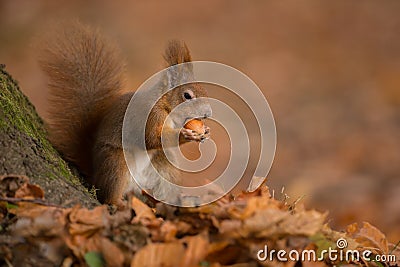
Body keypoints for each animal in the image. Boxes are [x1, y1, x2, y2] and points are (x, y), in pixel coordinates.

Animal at [39, 22, 211, 205]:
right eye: (187, 96)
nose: (208, 113)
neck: (165, 106)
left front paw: (206, 131)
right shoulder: (148, 115)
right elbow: (151, 137)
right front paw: (186, 135)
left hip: (164, 167)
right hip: (117, 162)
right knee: (109, 195)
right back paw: (118, 203)